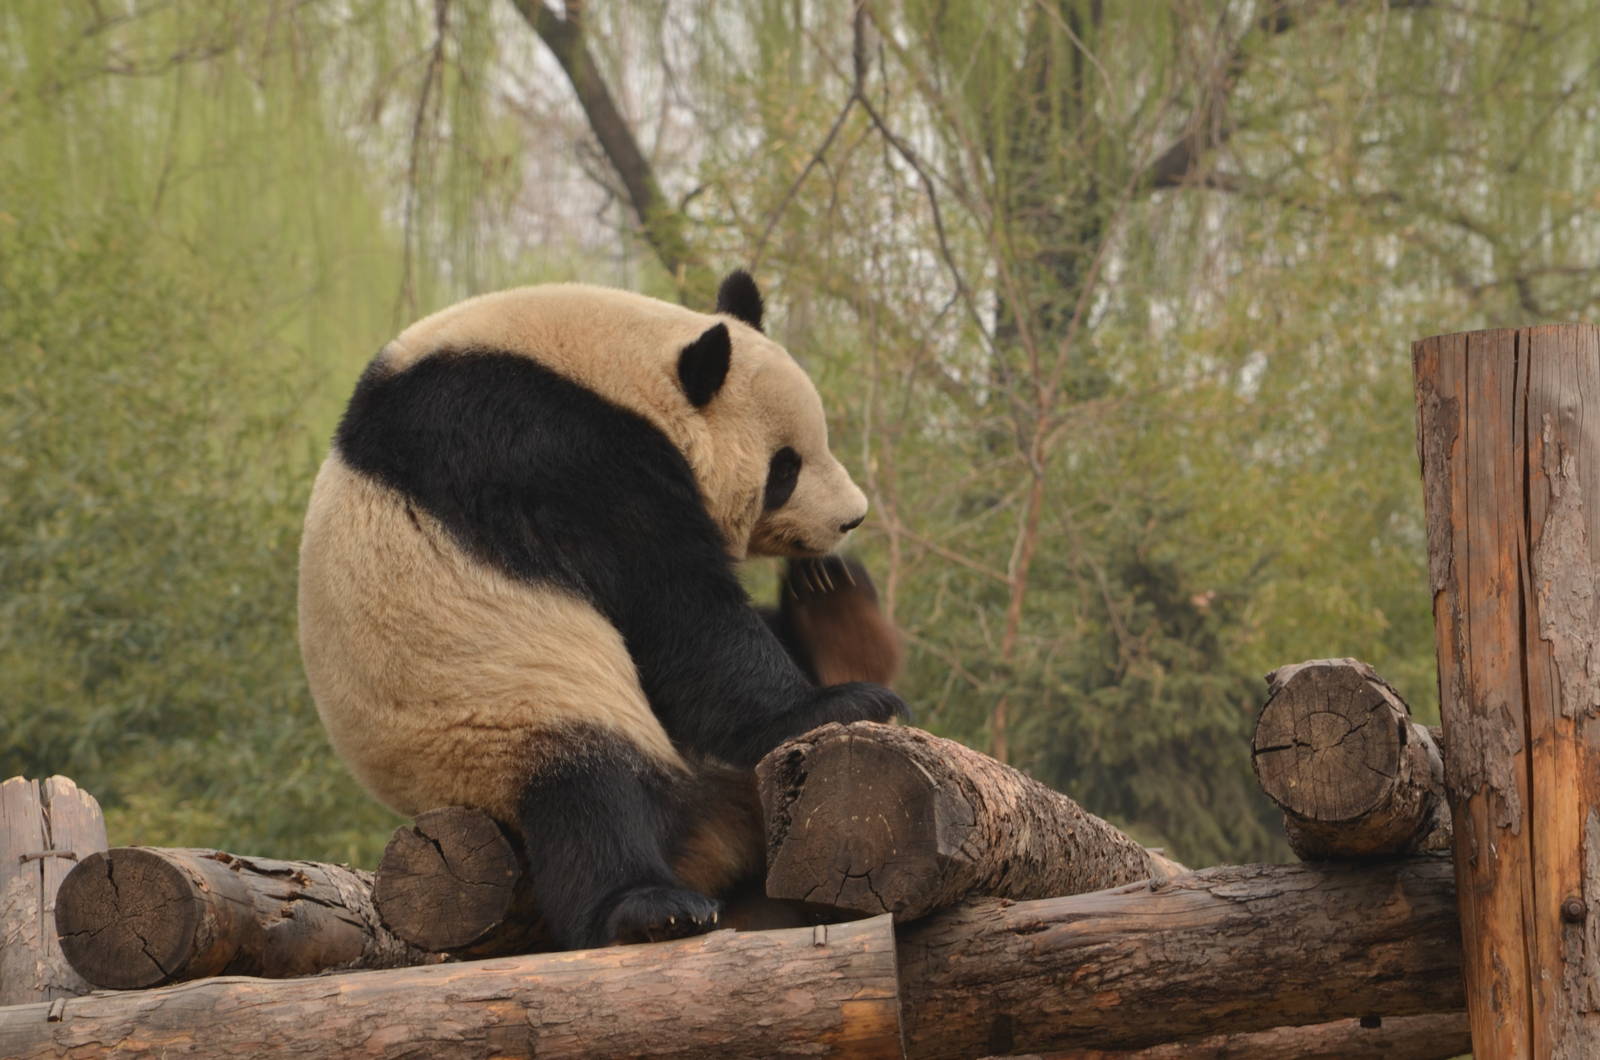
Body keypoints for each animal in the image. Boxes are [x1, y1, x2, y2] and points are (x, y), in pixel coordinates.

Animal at [298, 270, 906, 951]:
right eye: (785, 468)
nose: (850, 518)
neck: (616, 366)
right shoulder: (552, 451)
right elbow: (675, 605)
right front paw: (831, 707)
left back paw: (834, 610)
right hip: (499, 724)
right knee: (591, 798)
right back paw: (651, 909)